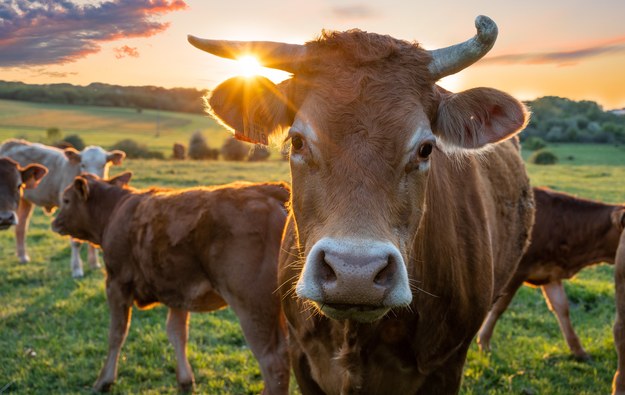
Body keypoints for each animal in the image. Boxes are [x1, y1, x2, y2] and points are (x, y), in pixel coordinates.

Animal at [0, 140, 125, 278]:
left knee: (21, 227)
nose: (92, 178)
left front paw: (94, 264)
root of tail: (12, 142)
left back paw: (22, 257)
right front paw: (77, 269)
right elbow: (76, 242)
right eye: (83, 164)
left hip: (25, 201)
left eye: (103, 165)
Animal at [51, 175, 290, 394]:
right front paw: (185, 380)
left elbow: (117, 333)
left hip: (253, 307)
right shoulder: (178, 291)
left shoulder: (116, 284)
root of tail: (269, 190)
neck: (115, 211)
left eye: (66, 200)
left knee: (274, 363)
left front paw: (104, 381)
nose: (54, 222)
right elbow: (177, 333)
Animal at [478, 187, 624, 360]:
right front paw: (484, 342)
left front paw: (579, 351)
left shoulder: (550, 274)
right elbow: (499, 307)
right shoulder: (517, 272)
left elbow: (562, 308)